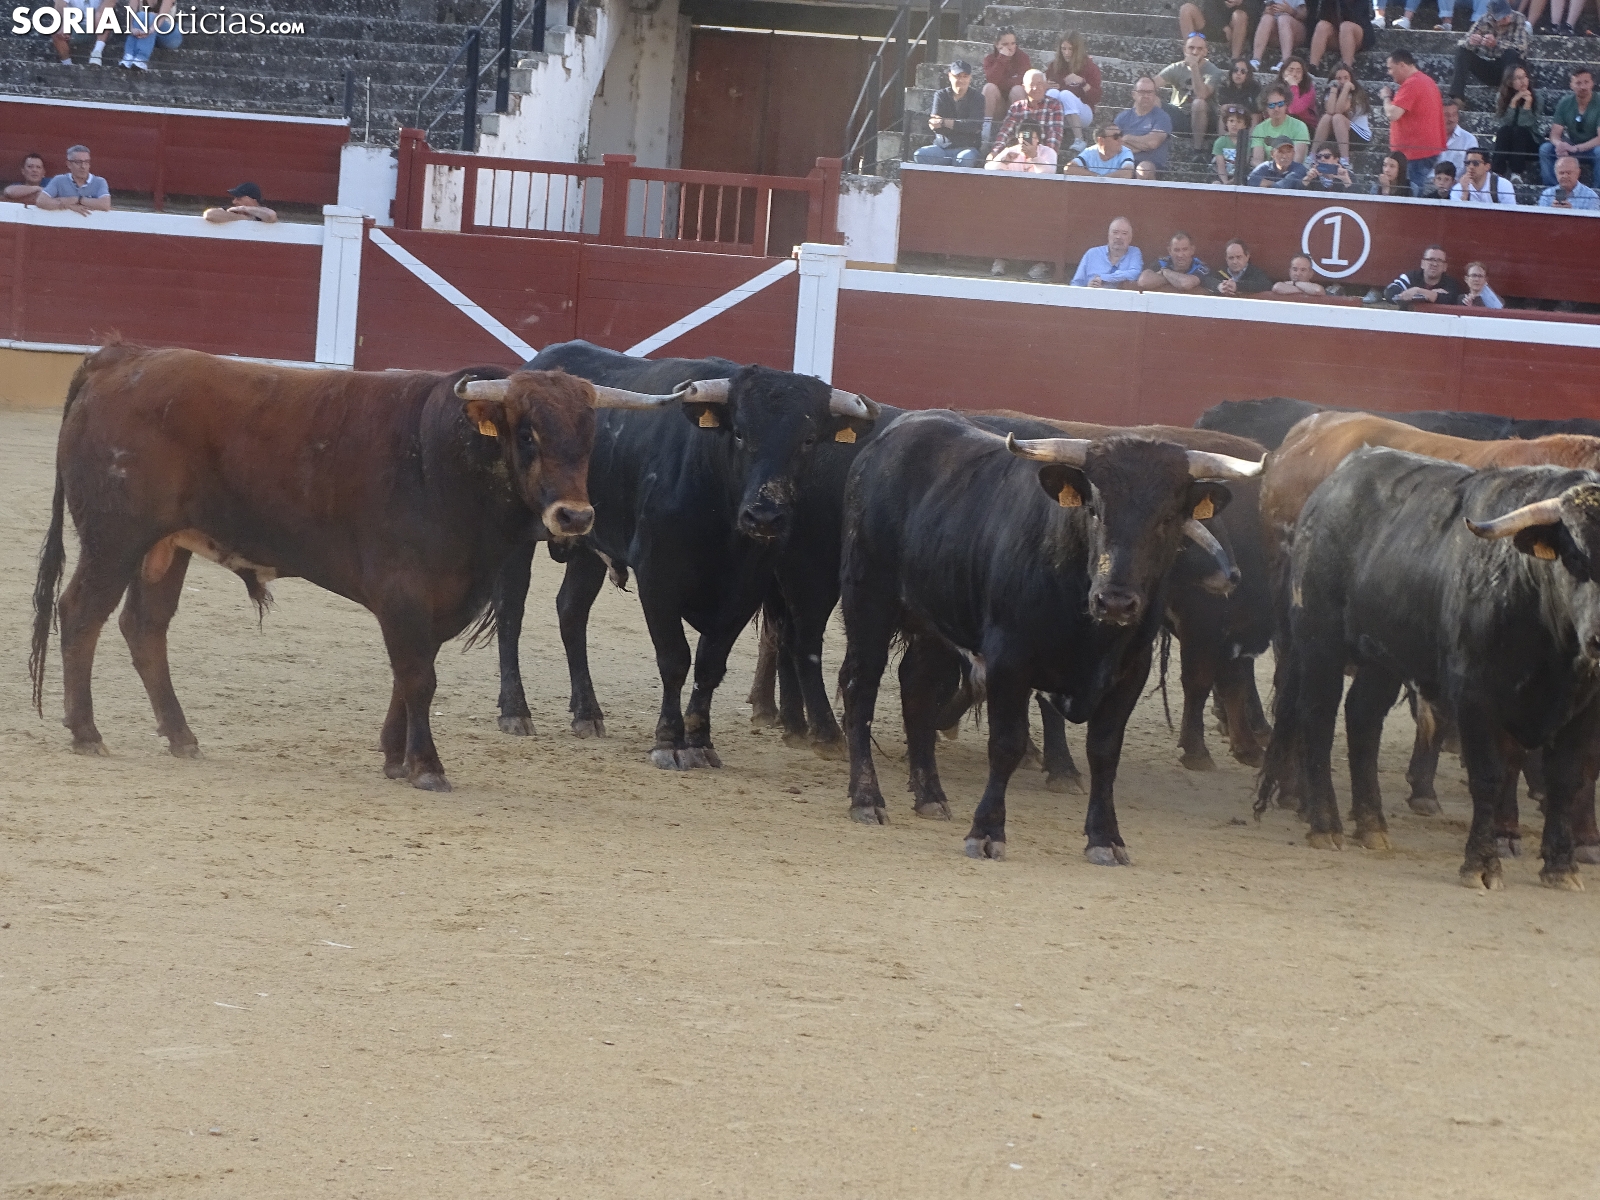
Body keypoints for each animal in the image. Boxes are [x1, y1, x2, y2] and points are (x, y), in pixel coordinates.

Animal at [28, 342, 675, 791]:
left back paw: (181, 736)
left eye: (590, 438)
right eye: (527, 434)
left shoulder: (438, 601)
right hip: (115, 538)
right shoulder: (405, 592)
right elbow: (418, 676)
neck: (443, 457)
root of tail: (119, 358)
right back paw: (87, 732)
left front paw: (394, 756)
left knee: (144, 627)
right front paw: (426, 765)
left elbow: (407, 674)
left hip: (165, 547)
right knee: (81, 613)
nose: (574, 516)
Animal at [486, 340, 879, 769]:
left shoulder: (746, 590)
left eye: (808, 440)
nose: (764, 516)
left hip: (587, 541)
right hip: (519, 537)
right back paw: (515, 711)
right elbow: (674, 659)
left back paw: (587, 713)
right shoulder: (657, 579)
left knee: (571, 610)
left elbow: (709, 665)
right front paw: (668, 742)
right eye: (739, 433)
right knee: (511, 610)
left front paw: (700, 741)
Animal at [837, 411, 1262, 863]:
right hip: (867, 599)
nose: (1115, 602)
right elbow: (1007, 743)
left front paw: (1105, 838)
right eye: (1094, 509)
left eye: (1168, 518)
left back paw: (930, 796)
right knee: (860, 687)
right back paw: (867, 799)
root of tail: (896, 432)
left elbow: (1104, 752)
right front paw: (986, 832)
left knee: (916, 689)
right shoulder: (1008, 661)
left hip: (933, 622)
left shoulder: (1131, 672)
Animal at [1257, 410, 1600, 858]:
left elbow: (1581, 766)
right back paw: (1312, 810)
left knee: (1360, 714)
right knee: (1309, 707)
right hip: (1313, 638)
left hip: (1381, 653)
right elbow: (1509, 759)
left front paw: (1583, 839)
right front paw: (1504, 833)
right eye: (1574, 555)